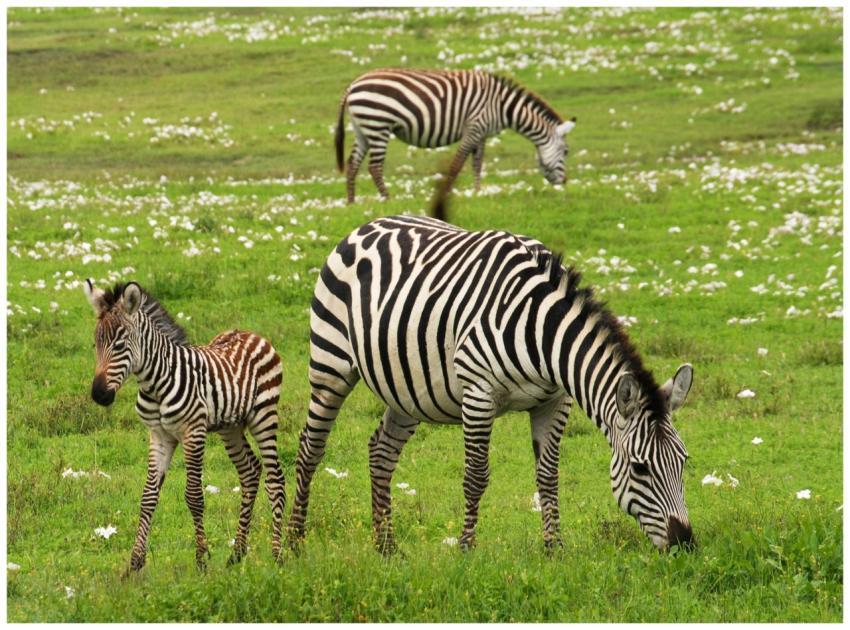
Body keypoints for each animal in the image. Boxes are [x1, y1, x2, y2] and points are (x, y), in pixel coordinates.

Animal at [84, 280, 285, 573]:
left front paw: (201, 559)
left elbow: (194, 496)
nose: (99, 395)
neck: (155, 383)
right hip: (230, 427)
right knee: (249, 472)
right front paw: (135, 563)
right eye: (96, 343)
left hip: (264, 416)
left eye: (120, 345)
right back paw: (237, 553)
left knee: (275, 478)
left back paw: (278, 554)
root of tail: (251, 334)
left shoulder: (193, 432)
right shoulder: (159, 436)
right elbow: (148, 497)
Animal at [287, 215, 695, 554]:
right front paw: (467, 548)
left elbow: (548, 476)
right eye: (640, 469)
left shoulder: (554, 401)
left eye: (683, 462)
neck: (542, 332)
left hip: (407, 389)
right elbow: (476, 476)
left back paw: (386, 547)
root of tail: (366, 225)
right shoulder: (479, 393)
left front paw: (555, 549)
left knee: (381, 451)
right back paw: (292, 542)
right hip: (330, 364)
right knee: (310, 448)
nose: (684, 544)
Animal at [335, 68, 577, 203]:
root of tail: (352, 85)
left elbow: (477, 164)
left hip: (363, 128)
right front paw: (448, 193)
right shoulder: (474, 127)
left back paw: (351, 202)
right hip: (378, 124)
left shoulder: (482, 134)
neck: (502, 106)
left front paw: (477, 192)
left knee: (353, 163)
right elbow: (457, 164)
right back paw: (387, 199)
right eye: (566, 152)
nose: (564, 182)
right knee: (374, 167)